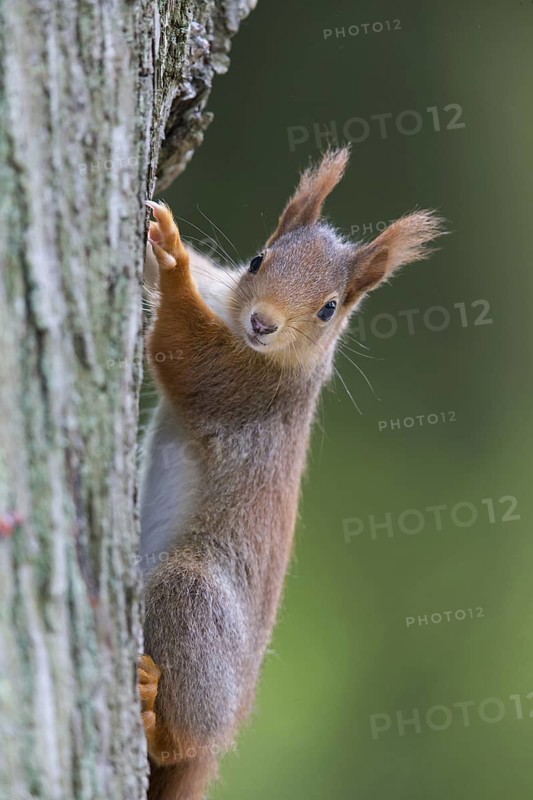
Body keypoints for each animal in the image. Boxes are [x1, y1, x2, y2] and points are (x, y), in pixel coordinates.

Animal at [138, 147, 444, 800]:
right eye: (259, 259)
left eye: (329, 309)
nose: (263, 322)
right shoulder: (223, 291)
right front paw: (162, 248)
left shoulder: (246, 390)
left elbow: (187, 354)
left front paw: (172, 259)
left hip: (195, 594)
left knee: (185, 736)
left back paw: (158, 716)